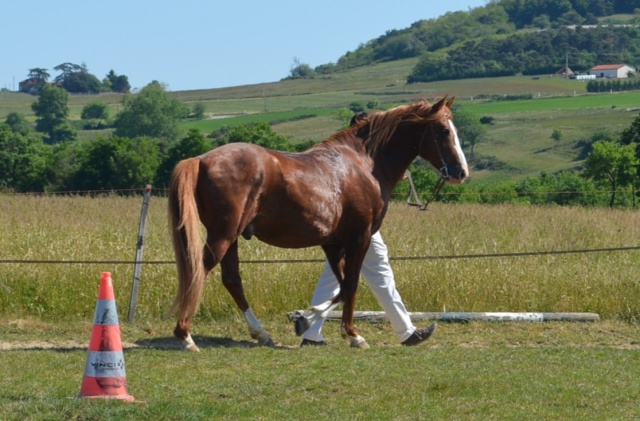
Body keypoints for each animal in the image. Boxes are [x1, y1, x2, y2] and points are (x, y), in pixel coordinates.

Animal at [168, 97, 468, 350]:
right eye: (443, 130)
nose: (461, 172)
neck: (363, 164)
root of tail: (200, 159)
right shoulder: (360, 237)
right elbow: (351, 285)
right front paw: (349, 333)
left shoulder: (333, 243)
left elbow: (343, 286)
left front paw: (308, 321)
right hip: (223, 235)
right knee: (198, 272)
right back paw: (185, 336)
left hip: (231, 238)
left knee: (232, 281)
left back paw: (261, 334)